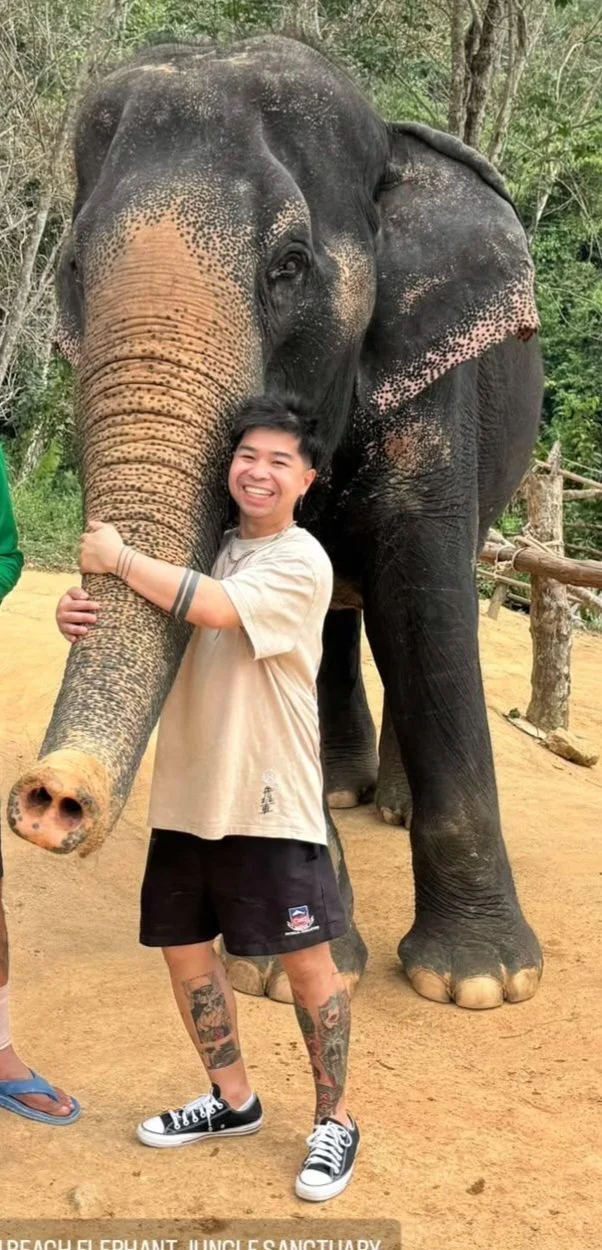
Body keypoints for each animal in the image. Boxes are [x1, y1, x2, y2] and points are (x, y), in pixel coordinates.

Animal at [8, 34, 544, 1010]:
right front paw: (282, 967)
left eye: (288, 264)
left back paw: (391, 808)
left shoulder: (432, 400)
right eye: (72, 270)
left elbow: (429, 610)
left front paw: (481, 982)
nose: (49, 798)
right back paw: (344, 794)